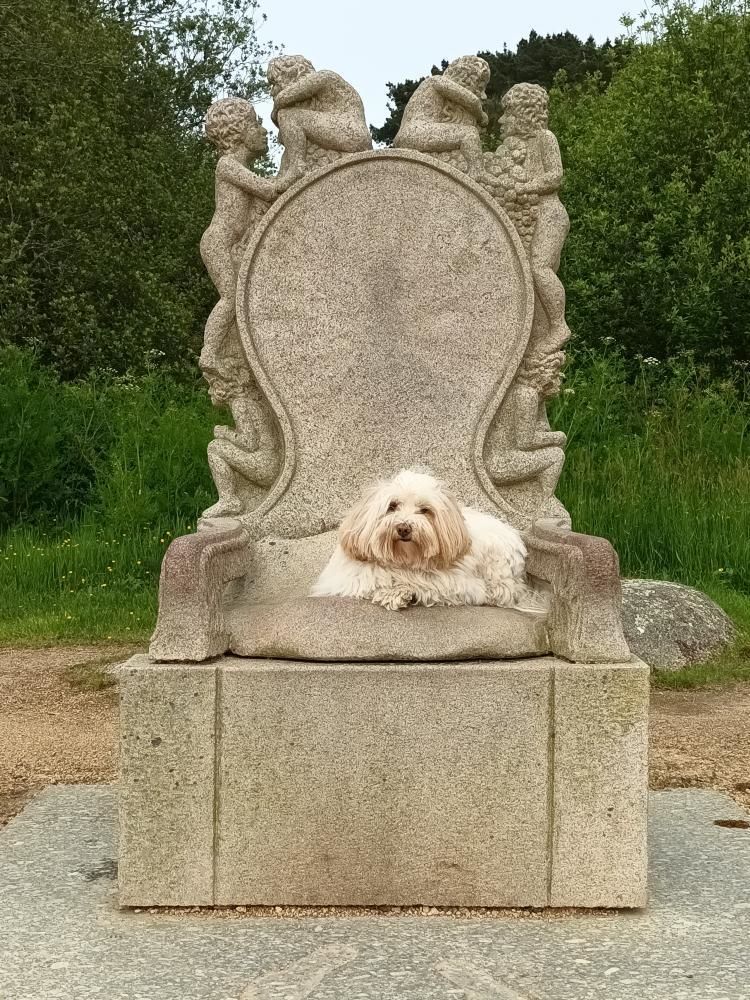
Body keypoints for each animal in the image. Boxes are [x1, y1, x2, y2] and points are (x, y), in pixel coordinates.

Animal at [308, 466, 544, 612]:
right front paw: (395, 593)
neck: (404, 561)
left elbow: (432, 587)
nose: (404, 528)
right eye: (392, 506)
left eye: (424, 510)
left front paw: (406, 592)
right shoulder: (352, 579)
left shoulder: (460, 583)